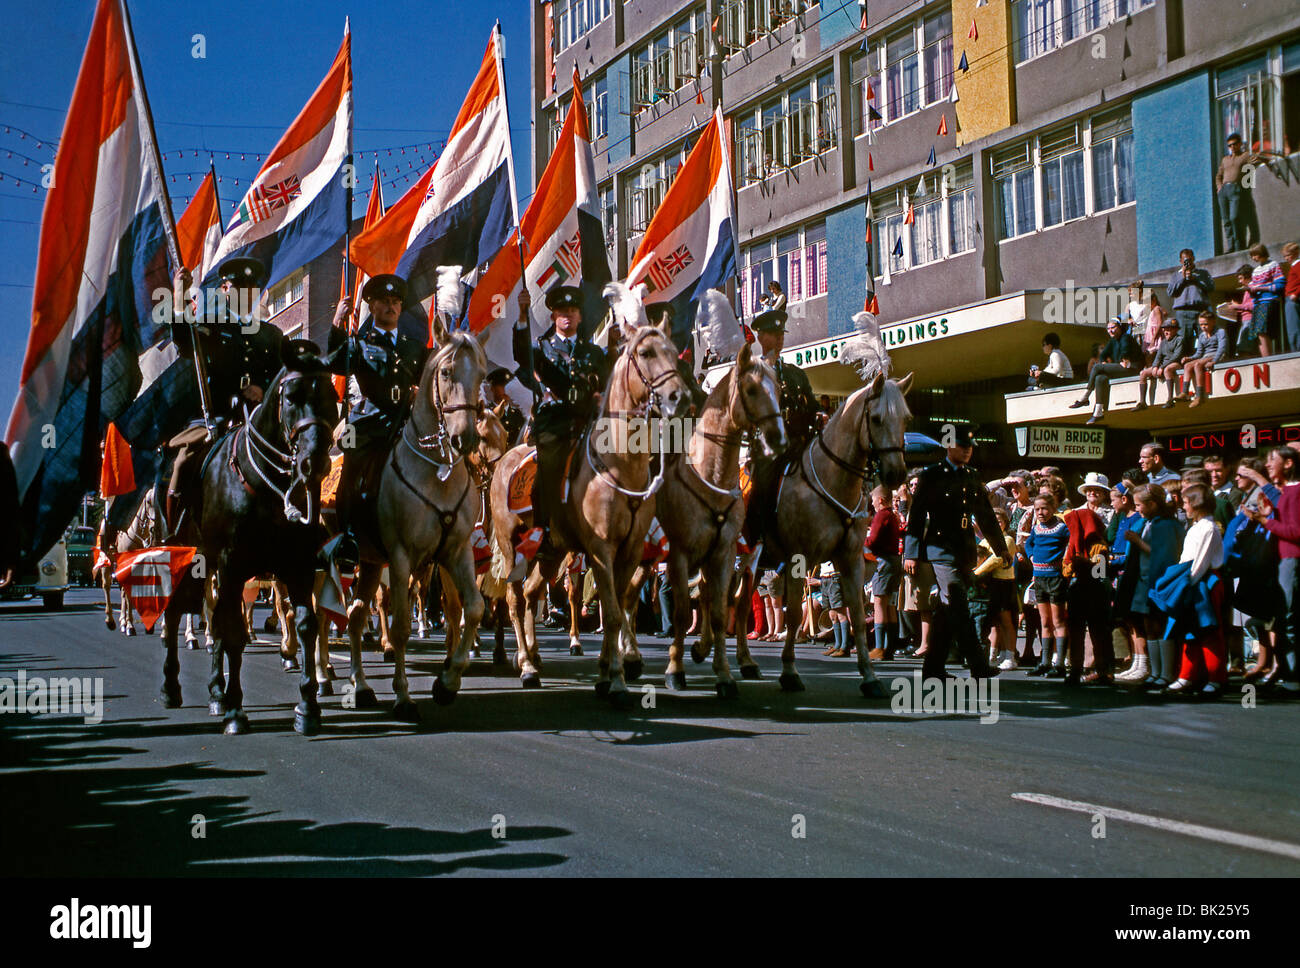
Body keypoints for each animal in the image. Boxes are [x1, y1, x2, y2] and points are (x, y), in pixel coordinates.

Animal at [345, 313, 488, 722]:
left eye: (482, 374)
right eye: (447, 371)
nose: (464, 440)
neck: (436, 471)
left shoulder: (457, 552)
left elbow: (473, 608)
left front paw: (448, 682)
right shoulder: (401, 556)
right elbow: (401, 627)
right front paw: (403, 696)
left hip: (369, 562)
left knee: (355, 615)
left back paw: (361, 687)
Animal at [488, 305, 691, 706]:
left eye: (674, 351)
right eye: (646, 353)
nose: (679, 398)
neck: (621, 465)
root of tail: (504, 460)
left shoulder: (632, 550)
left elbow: (622, 603)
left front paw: (614, 669)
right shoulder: (600, 549)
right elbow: (611, 611)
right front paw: (616, 678)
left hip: (550, 551)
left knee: (533, 593)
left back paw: (533, 655)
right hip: (511, 544)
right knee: (515, 601)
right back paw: (526, 665)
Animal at [618, 340, 780, 696]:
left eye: (779, 388)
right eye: (751, 389)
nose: (777, 436)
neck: (712, 477)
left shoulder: (727, 553)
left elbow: (724, 607)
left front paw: (727, 671)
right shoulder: (681, 554)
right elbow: (682, 612)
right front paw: (675, 670)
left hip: (647, 559)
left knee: (629, 598)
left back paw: (631, 656)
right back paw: (627, 656)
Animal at [733, 369, 915, 696]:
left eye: (905, 418)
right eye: (877, 418)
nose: (896, 474)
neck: (833, 479)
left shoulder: (851, 559)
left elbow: (857, 616)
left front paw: (870, 677)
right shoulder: (798, 559)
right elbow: (794, 615)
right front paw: (789, 672)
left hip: (755, 564)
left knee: (740, 605)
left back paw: (746, 662)